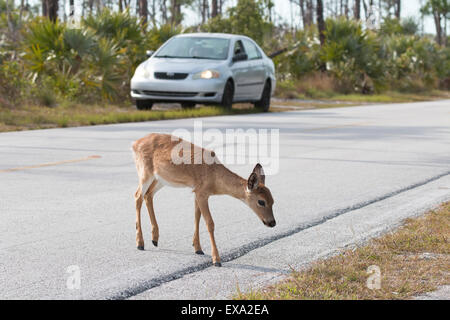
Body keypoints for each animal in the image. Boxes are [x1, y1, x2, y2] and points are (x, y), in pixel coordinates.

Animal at [132, 131, 276, 266]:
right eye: (261, 201)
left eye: (273, 201)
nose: (272, 222)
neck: (215, 180)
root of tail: (135, 144)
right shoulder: (202, 192)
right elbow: (210, 223)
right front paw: (216, 259)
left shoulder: (198, 191)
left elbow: (197, 217)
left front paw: (198, 248)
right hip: (145, 171)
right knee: (138, 196)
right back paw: (140, 243)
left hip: (161, 178)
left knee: (148, 195)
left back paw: (154, 239)